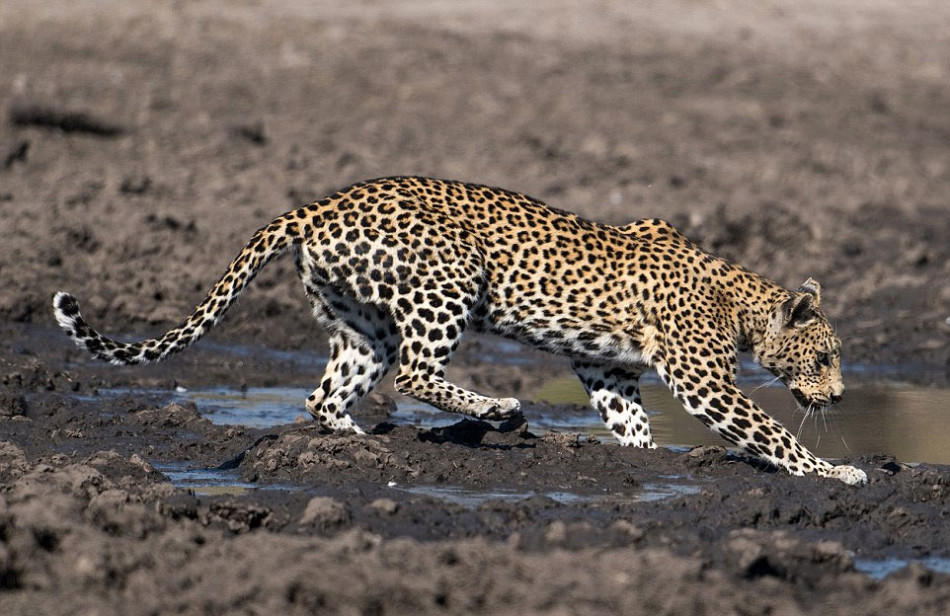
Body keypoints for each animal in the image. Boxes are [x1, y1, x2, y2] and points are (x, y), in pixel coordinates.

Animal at [52, 174, 872, 486]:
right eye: (826, 355)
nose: (839, 396)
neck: (744, 303)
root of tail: (318, 204)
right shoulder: (703, 378)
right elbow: (771, 431)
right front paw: (836, 472)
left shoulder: (608, 369)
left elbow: (630, 421)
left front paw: (641, 461)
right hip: (452, 278)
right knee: (417, 372)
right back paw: (499, 411)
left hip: (363, 323)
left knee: (328, 392)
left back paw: (359, 440)